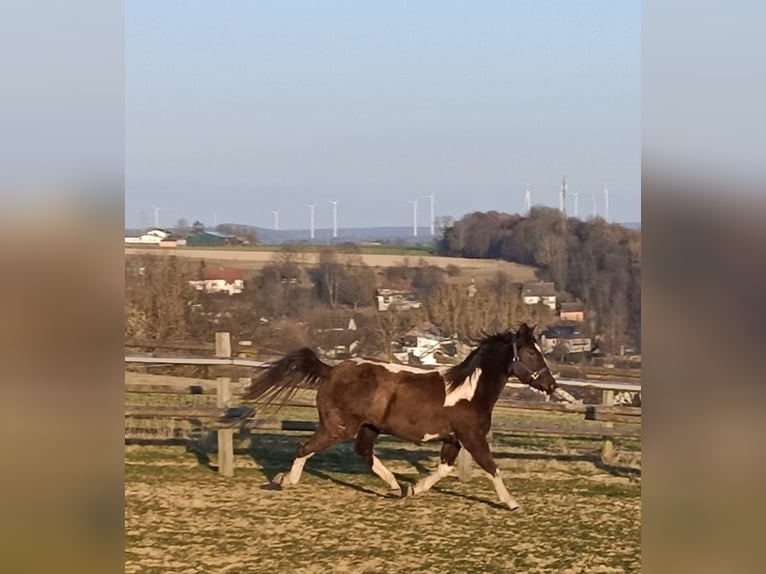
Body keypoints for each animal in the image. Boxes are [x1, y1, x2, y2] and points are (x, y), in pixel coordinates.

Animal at [242, 322, 557, 510]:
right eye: (530, 352)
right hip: (339, 426)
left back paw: (396, 487)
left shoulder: (453, 439)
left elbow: (445, 469)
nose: (551, 385)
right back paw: (286, 480)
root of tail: (330, 370)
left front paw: (415, 488)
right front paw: (511, 502)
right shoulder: (473, 438)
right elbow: (493, 468)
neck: (469, 389)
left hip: (369, 426)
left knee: (363, 452)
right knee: (305, 446)